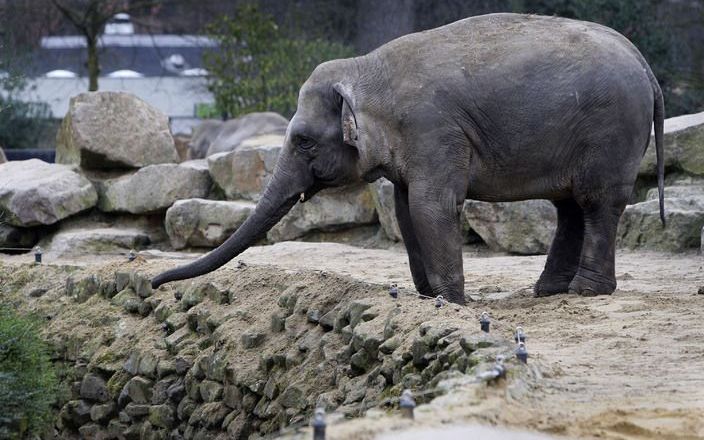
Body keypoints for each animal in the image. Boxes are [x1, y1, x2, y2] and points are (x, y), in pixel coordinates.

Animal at [151, 12, 664, 304]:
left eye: (303, 141)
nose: (156, 283)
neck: (367, 69)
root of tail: (644, 63)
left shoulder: (433, 130)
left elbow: (430, 206)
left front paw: (453, 303)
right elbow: (403, 209)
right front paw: (429, 296)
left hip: (611, 131)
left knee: (596, 203)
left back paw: (586, 292)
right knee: (568, 205)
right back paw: (549, 292)